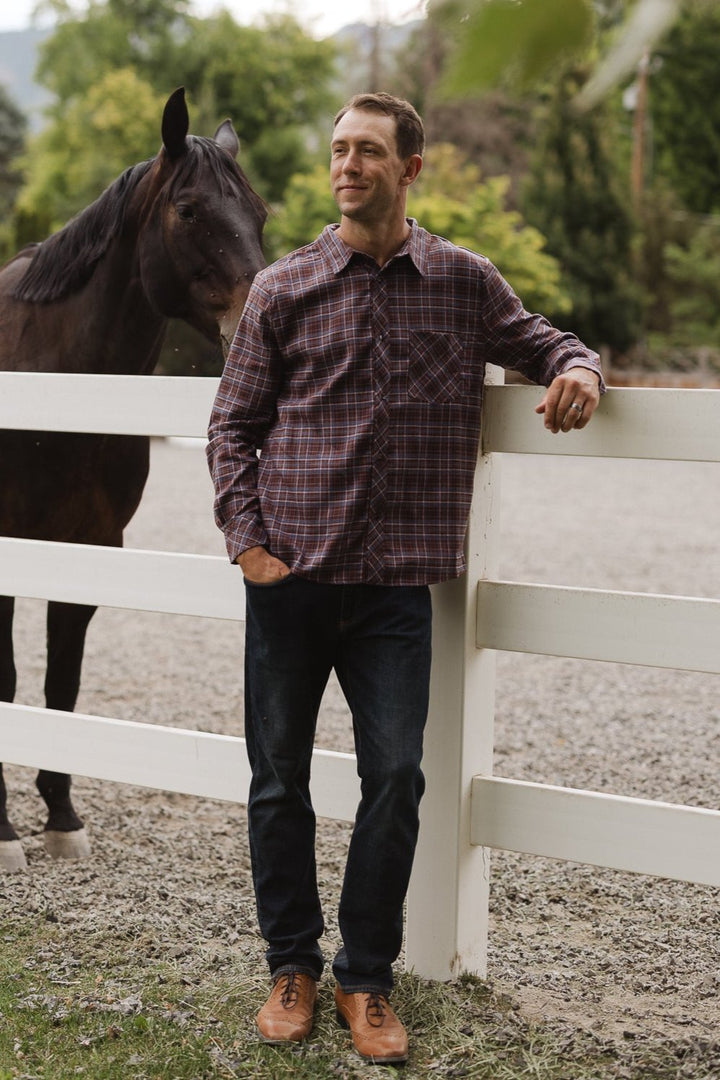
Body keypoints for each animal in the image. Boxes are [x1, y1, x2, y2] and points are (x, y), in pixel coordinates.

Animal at [0, 88, 267, 872]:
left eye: (259, 212)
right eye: (189, 211)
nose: (254, 321)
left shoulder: (93, 548)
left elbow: (62, 682)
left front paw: (61, 815)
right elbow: (11, 679)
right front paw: (3, 829)